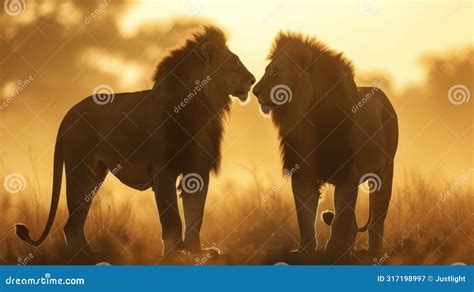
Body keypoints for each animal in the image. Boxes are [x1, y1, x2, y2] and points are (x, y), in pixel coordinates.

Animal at [14, 25, 256, 258]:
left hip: (95, 173)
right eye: (234, 62)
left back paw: (91, 253)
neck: (202, 106)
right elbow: (171, 217)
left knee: (73, 223)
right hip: (81, 169)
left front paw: (197, 250)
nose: (253, 80)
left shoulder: (198, 167)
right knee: (71, 223)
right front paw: (173, 253)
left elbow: (195, 214)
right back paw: (86, 256)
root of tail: (69, 113)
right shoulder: (162, 169)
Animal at [254, 30, 398, 256]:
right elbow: (305, 215)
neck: (307, 114)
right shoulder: (302, 172)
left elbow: (340, 217)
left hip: (386, 170)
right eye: (267, 70)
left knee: (377, 219)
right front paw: (306, 249)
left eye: (275, 71)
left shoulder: (348, 171)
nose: (255, 90)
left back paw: (374, 252)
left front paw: (334, 249)